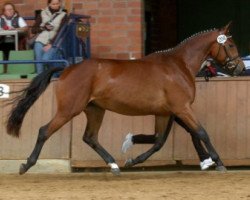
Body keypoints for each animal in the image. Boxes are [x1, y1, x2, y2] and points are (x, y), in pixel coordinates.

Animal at [5, 22, 244, 175]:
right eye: (231, 45)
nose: (240, 68)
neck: (179, 65)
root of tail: (67, 69)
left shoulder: (167, 112)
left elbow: (161, 140)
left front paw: (131, 154)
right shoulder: (182, 108)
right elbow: (200, 132)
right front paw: (218, 162)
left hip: (95, 109)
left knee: (90, 138)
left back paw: (114, 165)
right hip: (69, 110)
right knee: (44, 131)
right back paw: (26, 165)